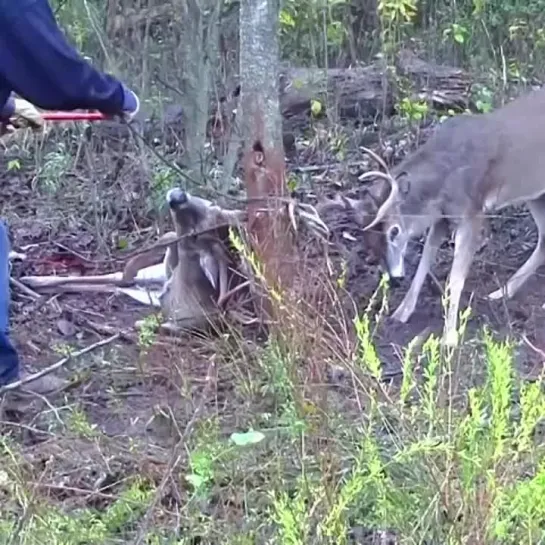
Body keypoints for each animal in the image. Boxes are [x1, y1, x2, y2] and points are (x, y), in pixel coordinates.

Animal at [324, 87, 545, 346]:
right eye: (368, 241)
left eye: (394, 230)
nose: (394, 278)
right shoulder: (442, 218)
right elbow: (423, 262)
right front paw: (401, 312)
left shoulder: (472, 213)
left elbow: (455, 279)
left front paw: (449, 337)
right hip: (535, 193)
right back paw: (501, 292)